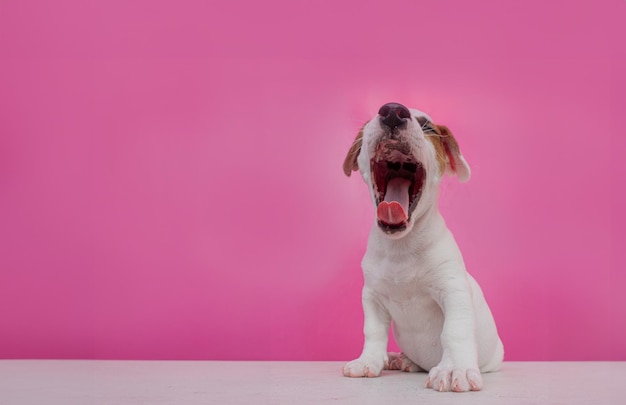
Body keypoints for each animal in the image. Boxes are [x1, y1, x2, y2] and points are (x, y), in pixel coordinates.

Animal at [342, 102, 502, 390]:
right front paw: (368, 361)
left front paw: (455, 369)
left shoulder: (453, 290)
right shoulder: (371, 297)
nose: (392, 111)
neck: (401, 247)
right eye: (371, 121)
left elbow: (455, 331)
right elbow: (373, 331)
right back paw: (401, 359)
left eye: (427, 126)